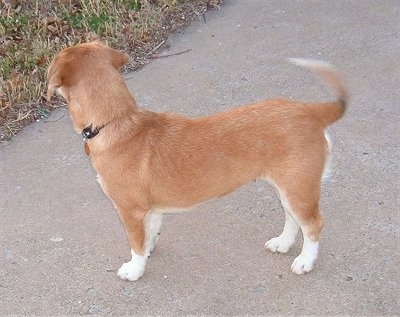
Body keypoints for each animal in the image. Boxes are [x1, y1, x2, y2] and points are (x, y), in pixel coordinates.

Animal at [46, 40, 346, 280]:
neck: (116, 122)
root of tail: (310, 111)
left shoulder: (129, 211)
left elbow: (135, 244)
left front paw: (135, 269)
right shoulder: (150, 211)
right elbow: (150, 233)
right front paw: (149, 249)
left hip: (299, 190)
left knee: (314, 225)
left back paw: (305, 261)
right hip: (287, 189)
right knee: (292, 220)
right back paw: (283, 243)